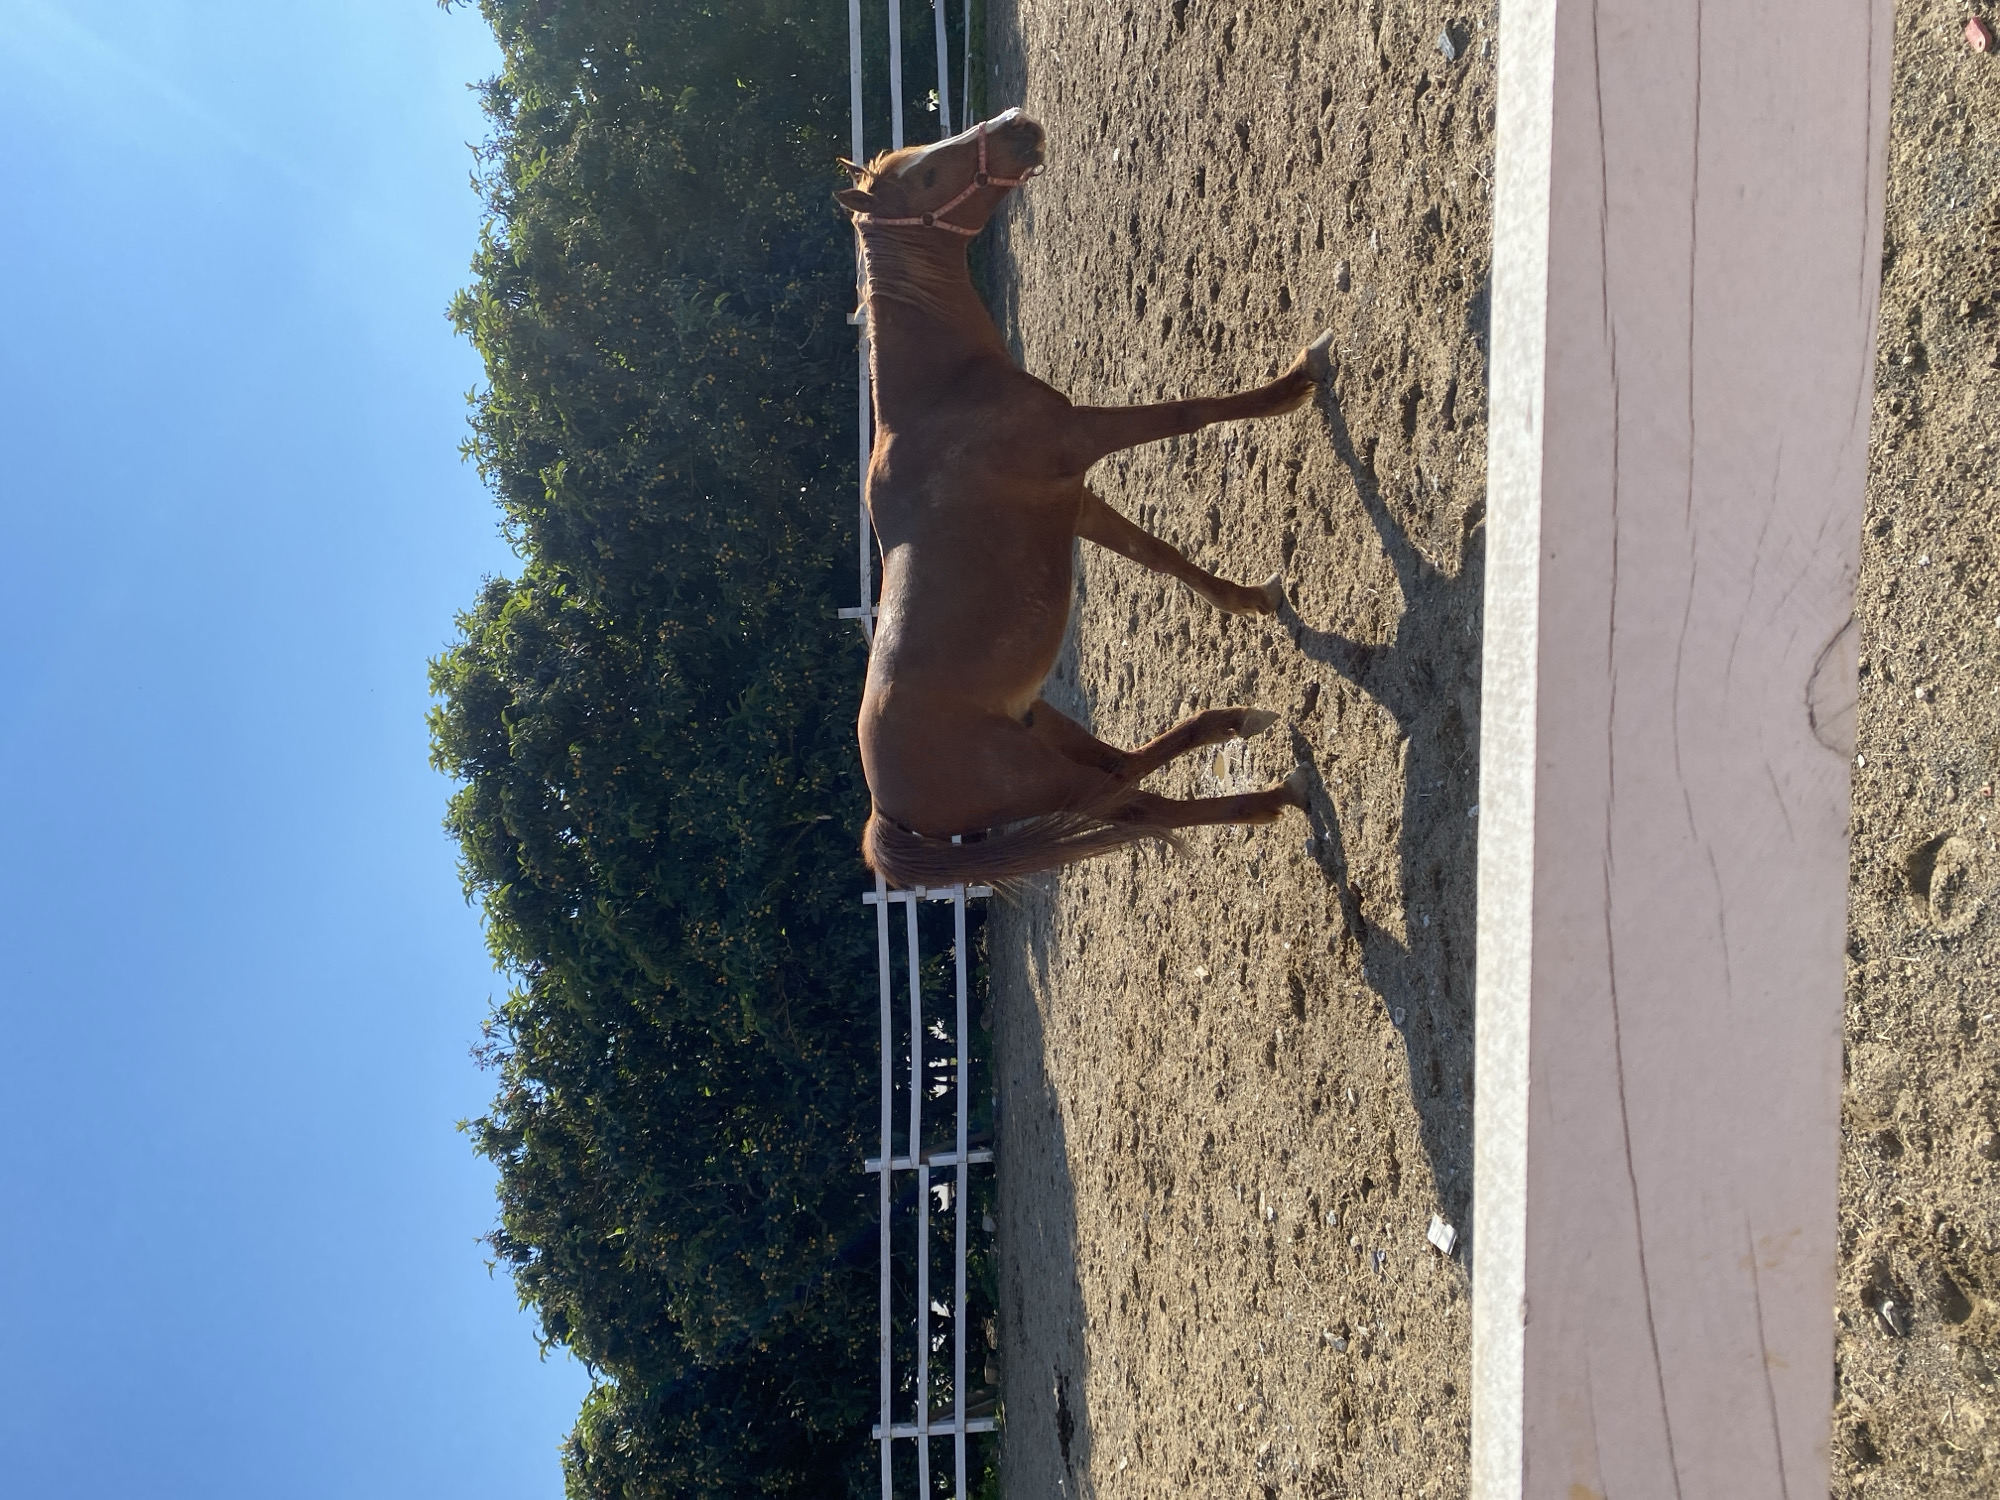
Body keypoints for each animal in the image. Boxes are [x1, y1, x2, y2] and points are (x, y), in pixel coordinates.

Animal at [837, 108, 1332, 888]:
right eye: (929, 174)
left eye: (924, 153)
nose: (1018, 125)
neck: (946, 396)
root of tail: (888, 815)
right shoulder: (1082, 440)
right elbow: (1189, 413)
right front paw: (1295, 383)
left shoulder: (1076, 502)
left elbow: (1162, 557)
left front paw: (1253, 600)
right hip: (1044, 778)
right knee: (1141, 800)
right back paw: (1273, 793)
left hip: (1045, 729)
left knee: (1127, 774)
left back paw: (1231, 725)